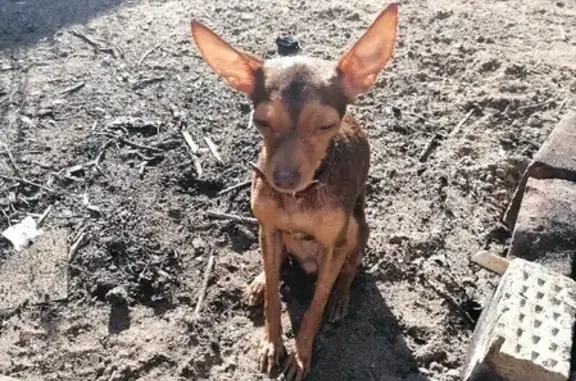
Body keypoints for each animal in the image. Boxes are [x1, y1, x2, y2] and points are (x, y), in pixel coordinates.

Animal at [191, 3, 398, 380]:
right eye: (261, 121)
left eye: (326, 125)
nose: (284, 178)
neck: (297, 200)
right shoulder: (269, 226)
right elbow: (275, 296)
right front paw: (273, 344)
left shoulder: (334, 246)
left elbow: (316, 304)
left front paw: (301, 355)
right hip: (270, 235)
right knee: (275, 261)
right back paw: (260, 281)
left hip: (357, 229)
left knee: (349, 268)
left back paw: (340, 298)